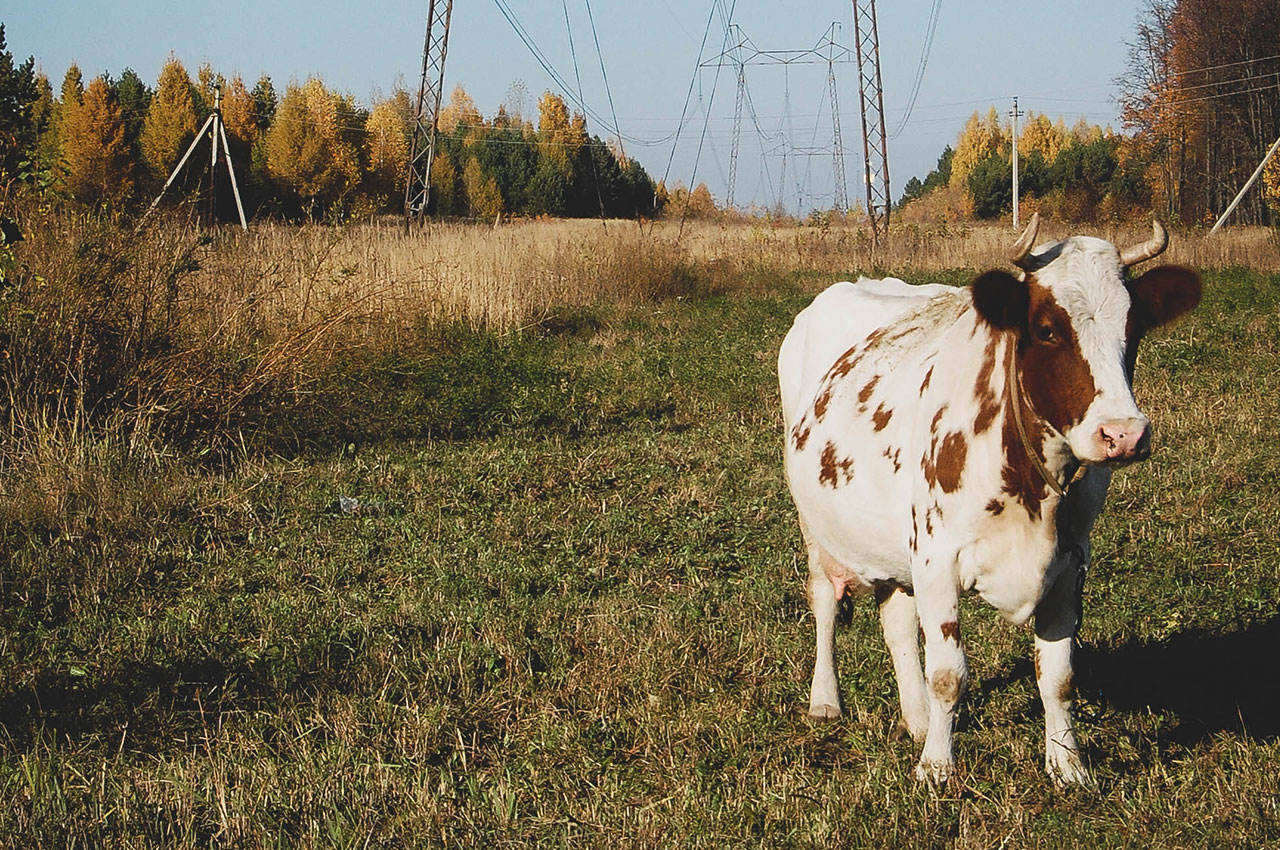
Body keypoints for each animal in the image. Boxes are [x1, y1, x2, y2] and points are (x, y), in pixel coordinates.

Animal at [773, 216, 1203, 788]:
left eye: (1133, 331)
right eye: (1046, 330)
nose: (1124, 435)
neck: (1033, 494)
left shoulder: (1070, 564)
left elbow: (1059, 676)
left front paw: (1067, 765)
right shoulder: (937, 558)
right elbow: (948, 673)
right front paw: (936, 767)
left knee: (896, 621)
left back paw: (915, 718)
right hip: (816, 524)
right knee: (824, 600)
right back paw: (826, 701)